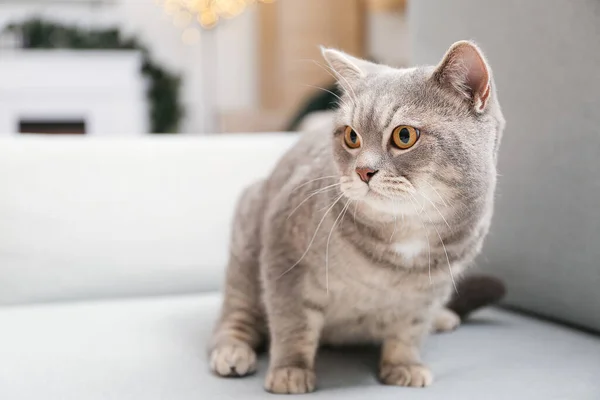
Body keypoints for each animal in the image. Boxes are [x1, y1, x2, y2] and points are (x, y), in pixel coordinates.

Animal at [209, 41, 504, 394]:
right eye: (351, 137)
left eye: (404, 136)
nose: (363, 171)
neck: (404, 235)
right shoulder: (285, 257)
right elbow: (292, 323)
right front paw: (290, 371)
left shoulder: (429, 291)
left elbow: (409, 330)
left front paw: (403, 365)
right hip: (246, 247)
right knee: (236, 315)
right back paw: (232, 351)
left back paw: (443, 318)